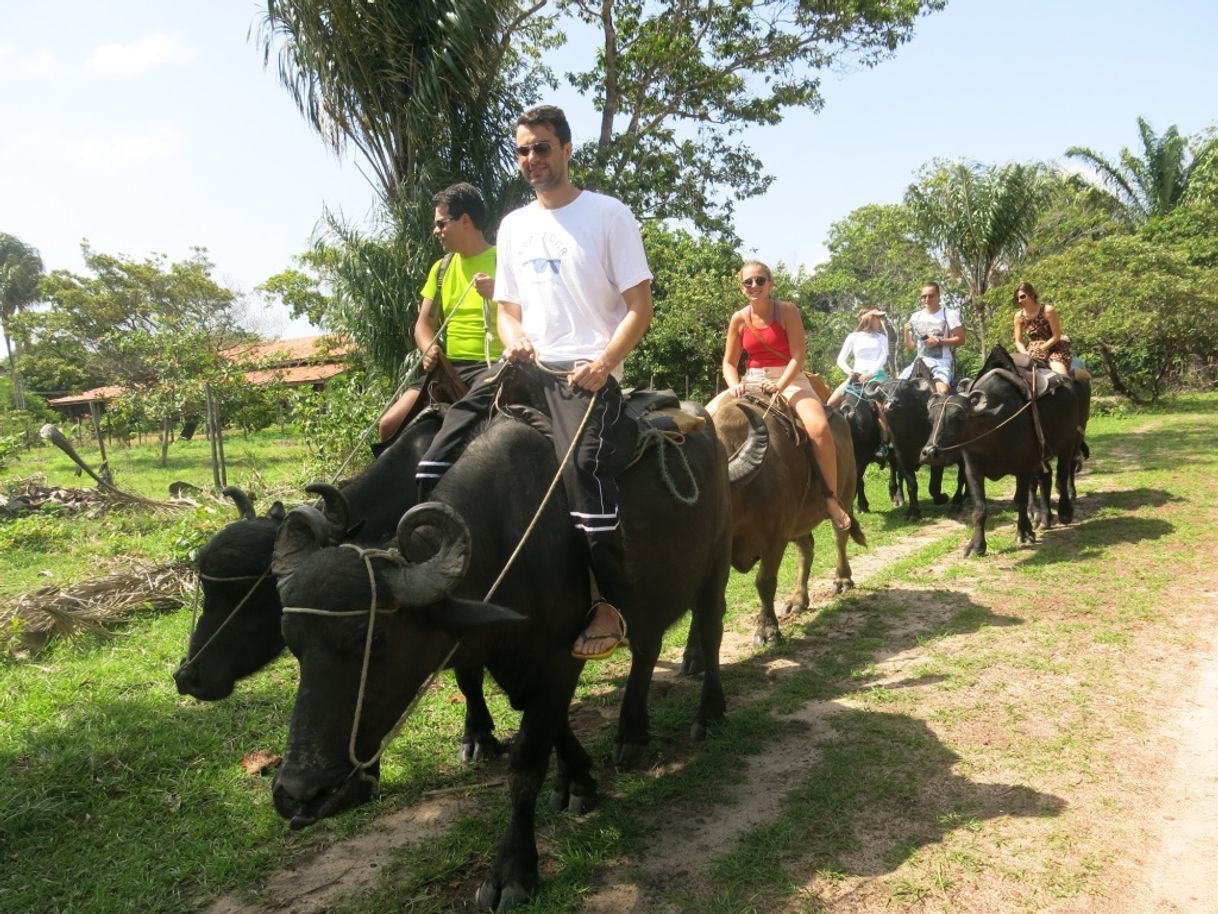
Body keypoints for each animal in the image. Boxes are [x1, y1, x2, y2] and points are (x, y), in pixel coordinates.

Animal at [711, 397, 867, 648]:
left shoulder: (776, 538)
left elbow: (764, 582)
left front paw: (768, 631)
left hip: (845, 493)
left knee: (839, 537)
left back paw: (842, 580)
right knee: (806, 550)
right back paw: (798, 600)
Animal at [915, 346, 1081, 555]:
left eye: (958, 417)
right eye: (931, 419)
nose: (930, 453)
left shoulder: (1023, 468)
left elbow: (1020, 501)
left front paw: (1024, 533)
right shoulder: (973, 470)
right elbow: (979, 509)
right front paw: (976, 546)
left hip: (1068, 442)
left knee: (1062, 473)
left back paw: (1065, 512)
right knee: (1046, 477)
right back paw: (1044, 519)